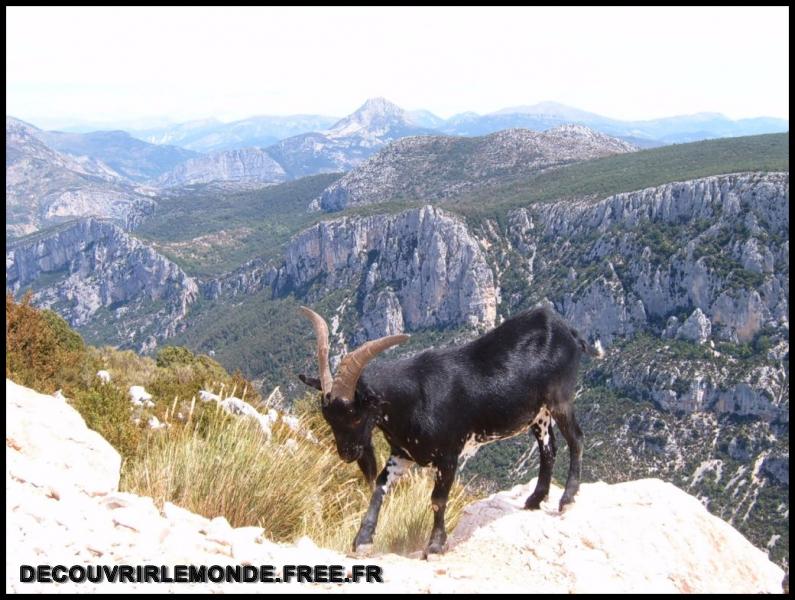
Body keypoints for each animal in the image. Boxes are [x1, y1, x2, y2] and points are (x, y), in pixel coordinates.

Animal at [298, 304, 604, 556]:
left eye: (354, 415)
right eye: (328, 417)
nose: (348, 454)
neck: (415, 399)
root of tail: (567, 330)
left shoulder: (449, 454)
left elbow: (438, 499)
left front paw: (435, 545)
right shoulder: (402, 454)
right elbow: (380, 487)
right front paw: (362, 541)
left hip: (560, 399)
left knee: (576, 439)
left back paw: (567, 498)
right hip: (538, 414)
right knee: (548, 449)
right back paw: (535, 499)